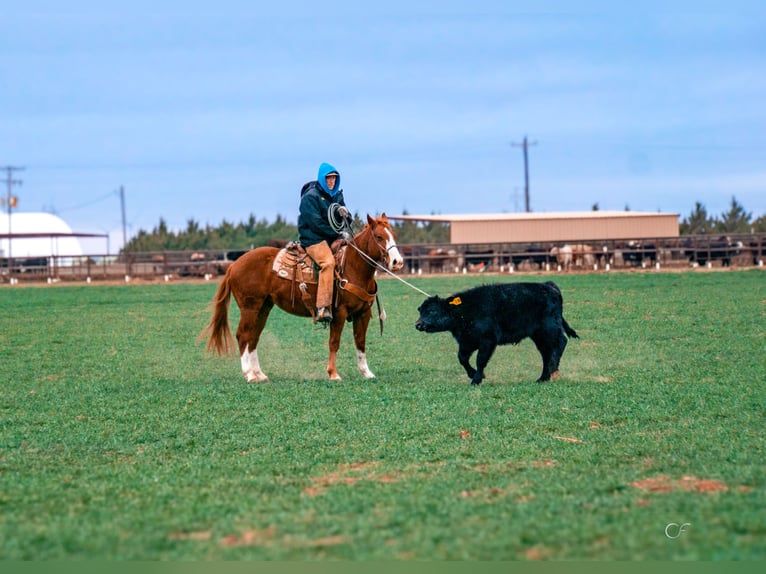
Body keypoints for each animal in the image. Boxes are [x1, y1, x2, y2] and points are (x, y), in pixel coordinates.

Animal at [202, 215, 408, 382]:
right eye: (379, 237)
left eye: (394, 235)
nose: (397, 262)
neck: (353, 267)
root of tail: (234, 265)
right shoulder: (339, 313)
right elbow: (334, 342)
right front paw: (333, 374)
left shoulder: (363, 313)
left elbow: (360, 342)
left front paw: (366, 373)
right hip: (249, 307)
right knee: (243, 335)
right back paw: (249, 375)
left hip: (263, 308)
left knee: (253, 337)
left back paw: (259, 374)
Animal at [416, 284, 580, 388]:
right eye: (420, 310)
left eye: (432, 311)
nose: (418, 324)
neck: (465, 312)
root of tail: (550, 287)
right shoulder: (467, 342)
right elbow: (462, 358)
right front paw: (473, 375)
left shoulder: (488, 340)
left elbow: (480, 360)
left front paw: (476, 380)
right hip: (539, 335)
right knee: (546, 353)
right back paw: (543, 378)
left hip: (549, 329)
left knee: (561, 343)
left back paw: (553, 370)